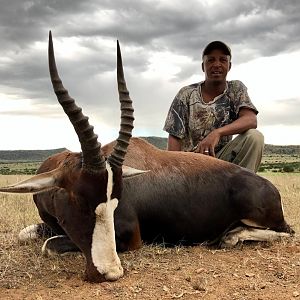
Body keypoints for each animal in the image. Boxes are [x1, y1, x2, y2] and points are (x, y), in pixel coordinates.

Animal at [0, 32, 292, 284]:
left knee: (285, 231)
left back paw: (228, 237)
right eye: (80, 201)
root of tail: (269, 187)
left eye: (115, 202)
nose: (110, 272)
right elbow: (26, 235)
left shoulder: (130, 236)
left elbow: (47, 245)